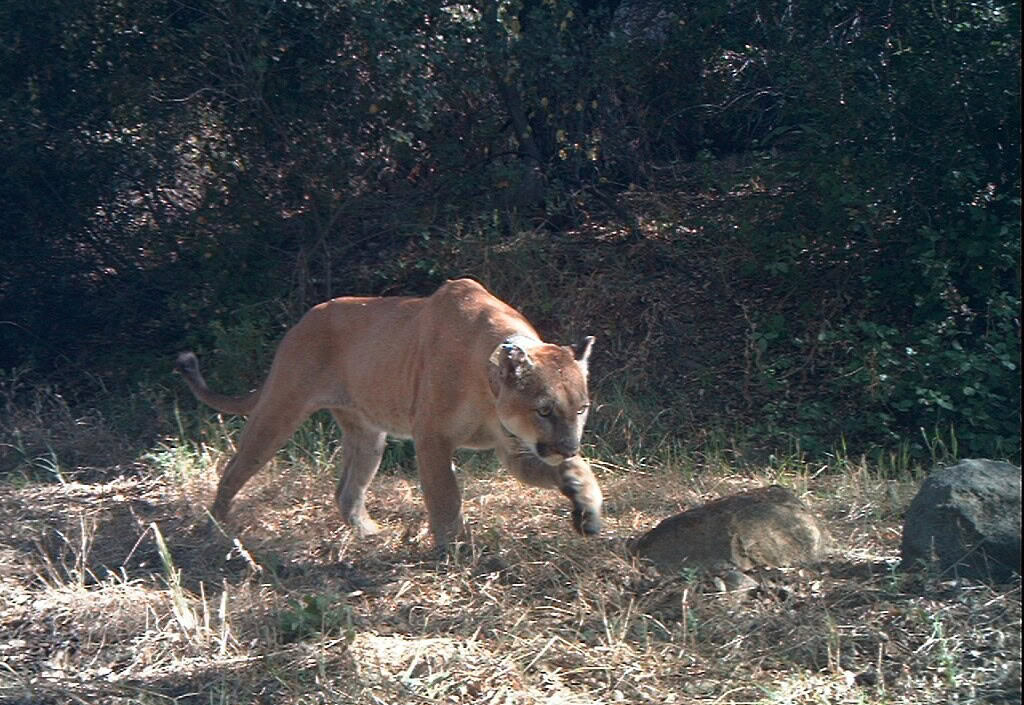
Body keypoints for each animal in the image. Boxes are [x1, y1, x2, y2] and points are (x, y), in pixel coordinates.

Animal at [175, 278, 602, 547]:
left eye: (581, 408)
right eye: (544, 410)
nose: (568, 446)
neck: (490, 382)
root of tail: (300, 322)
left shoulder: (514, 448)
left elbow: (568, 472)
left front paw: (585, 501)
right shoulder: (432, 437)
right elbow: (445, 496)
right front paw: (456, 549)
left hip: (368, 436)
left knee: (346, 490)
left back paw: (368, 533)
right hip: (279, 410)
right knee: (234, 468)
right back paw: (216, 529)